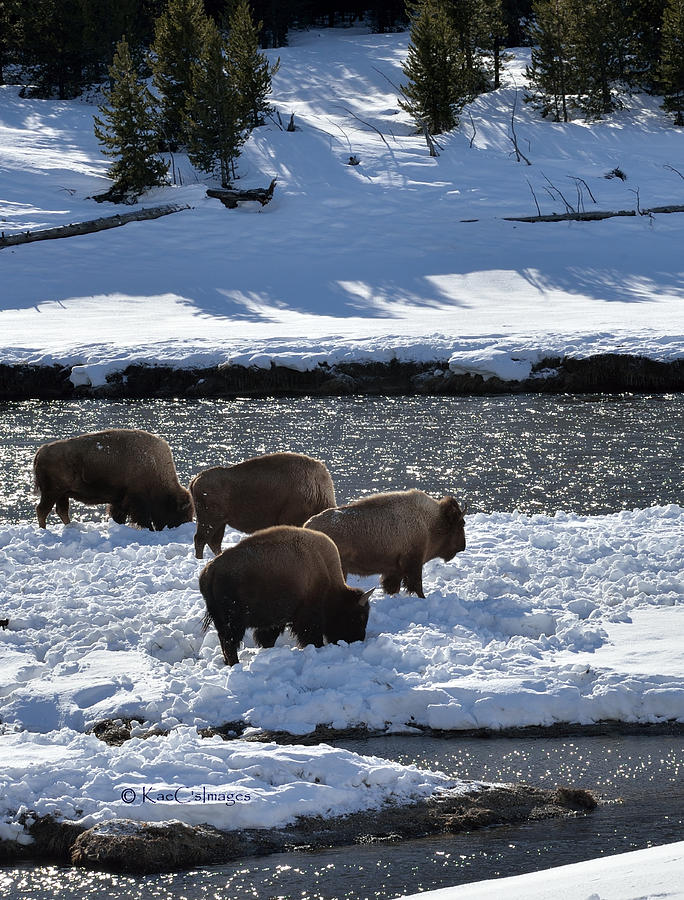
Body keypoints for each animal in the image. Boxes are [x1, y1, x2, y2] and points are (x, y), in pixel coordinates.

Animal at [33, 428, 194, 532]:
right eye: (182, 513)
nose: (183, 526)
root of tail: (41, 450)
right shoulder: (137, 501)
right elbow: (142, 519)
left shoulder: (120, 501)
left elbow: (119, 515)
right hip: (52, 493)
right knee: (42, 510)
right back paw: (44, 530)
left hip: (62, 494)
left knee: (61, 511)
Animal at [198, 524, 374, 664]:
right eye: (359, 616)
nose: (357, 639)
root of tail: (210, 570)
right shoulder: (309, 616)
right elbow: (312, 635)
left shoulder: (276, 621)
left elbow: (268, 636)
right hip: (234, 621)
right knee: (229, 642)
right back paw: (235, 664)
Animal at [304, 486, 464, 596]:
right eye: (461, 524)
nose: (462, 546)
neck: (430, 521)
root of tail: (308, 525)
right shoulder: (413, 563)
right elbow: (416, 584)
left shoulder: (394, 569)